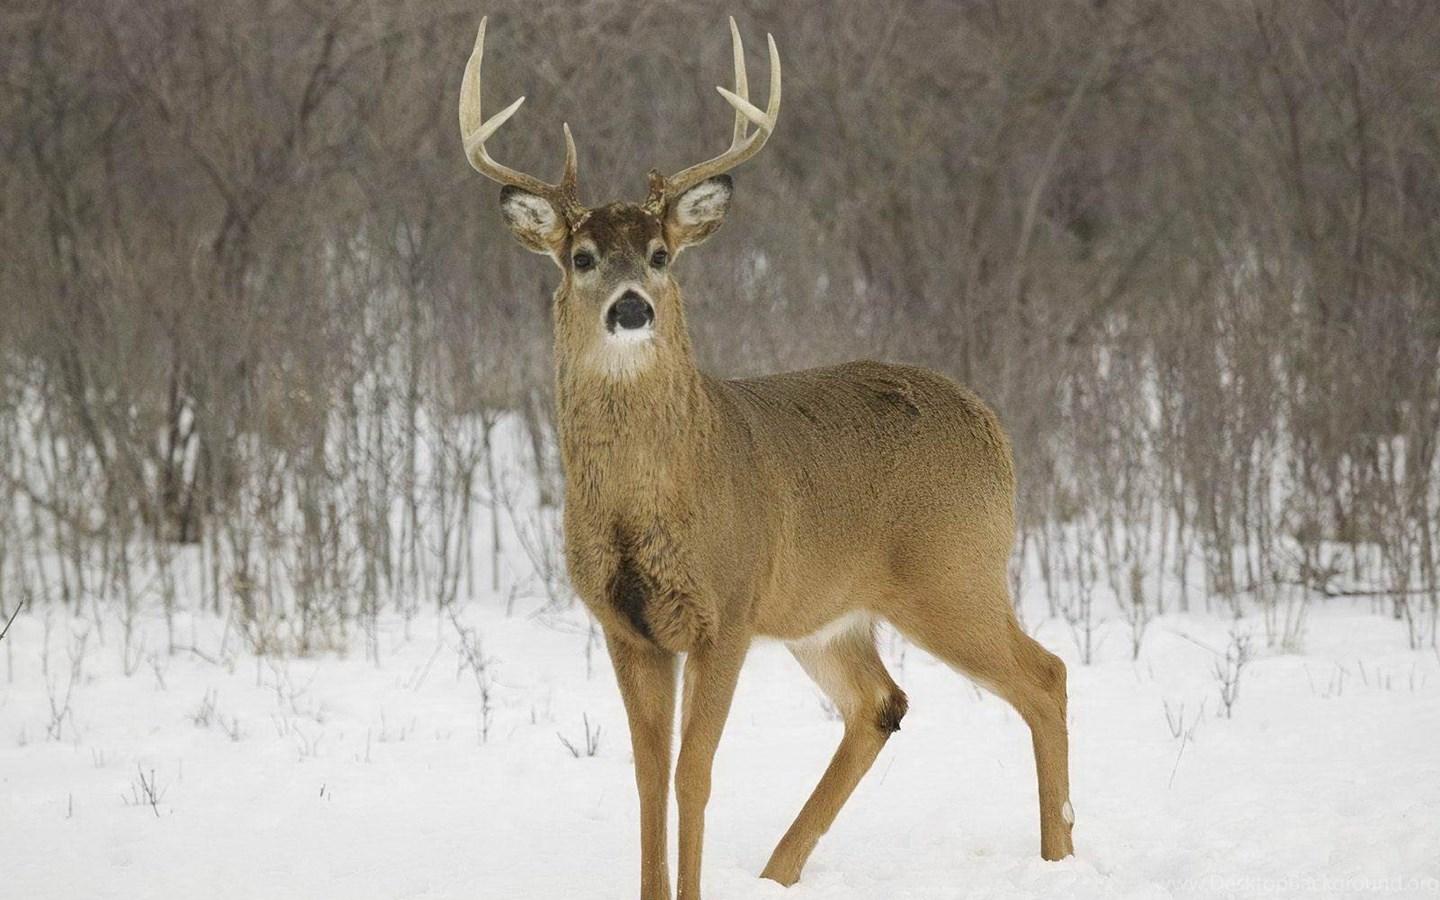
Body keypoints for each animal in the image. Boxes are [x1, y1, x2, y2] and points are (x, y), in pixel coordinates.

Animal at [458, 16, 1074, 899]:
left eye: (661, 254)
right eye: (582, 257)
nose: (632, 308)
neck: (649, 502)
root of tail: (993, 424)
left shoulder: (730, 607)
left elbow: (694, 774)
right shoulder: (625, 625)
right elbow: (647, 777)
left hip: (952, 572)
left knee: (1044, 676)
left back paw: (1059, 857)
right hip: (828, 611)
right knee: (880, 703)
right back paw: (779, 873)